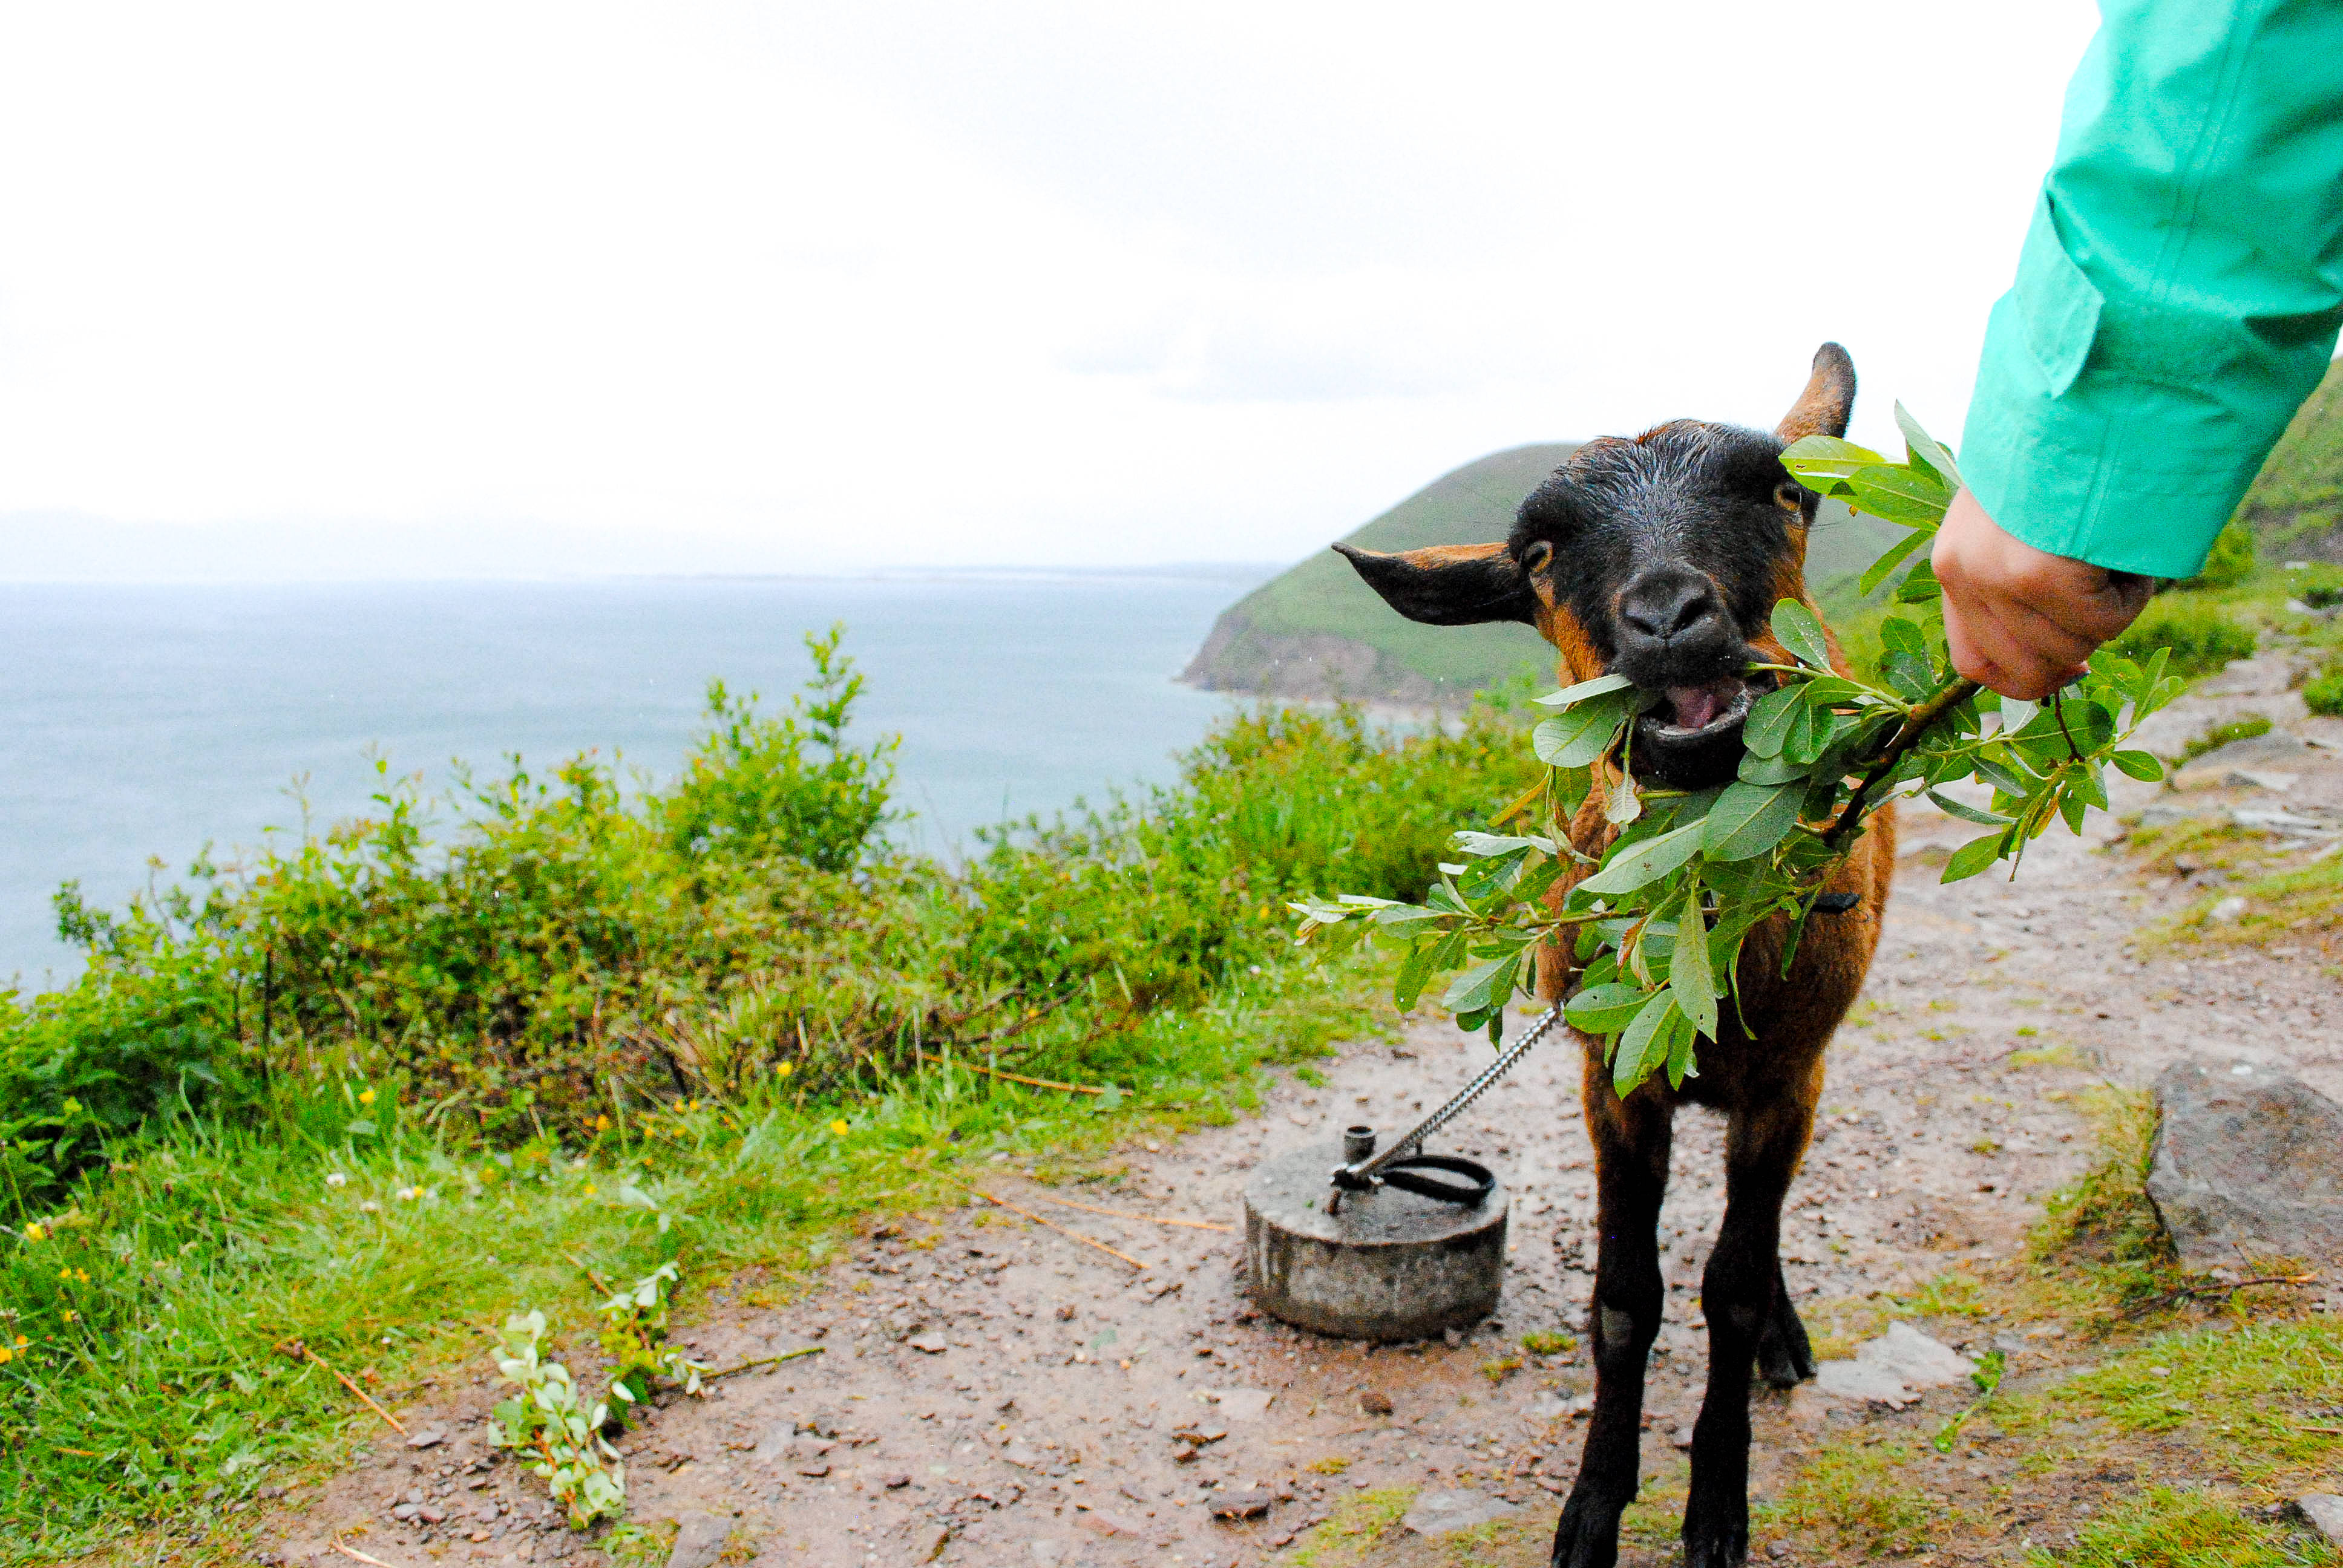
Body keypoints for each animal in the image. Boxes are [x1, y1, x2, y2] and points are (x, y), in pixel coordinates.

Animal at [1336, 344, 1890, 1568]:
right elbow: (1626, 1298)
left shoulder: (1788, 1077)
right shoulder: (1613, 1078)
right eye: (1539, 557)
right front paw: (1593, 1506)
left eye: (1782, 493)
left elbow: (1730, 1288)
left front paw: (1715, 1509)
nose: (1668, 617)